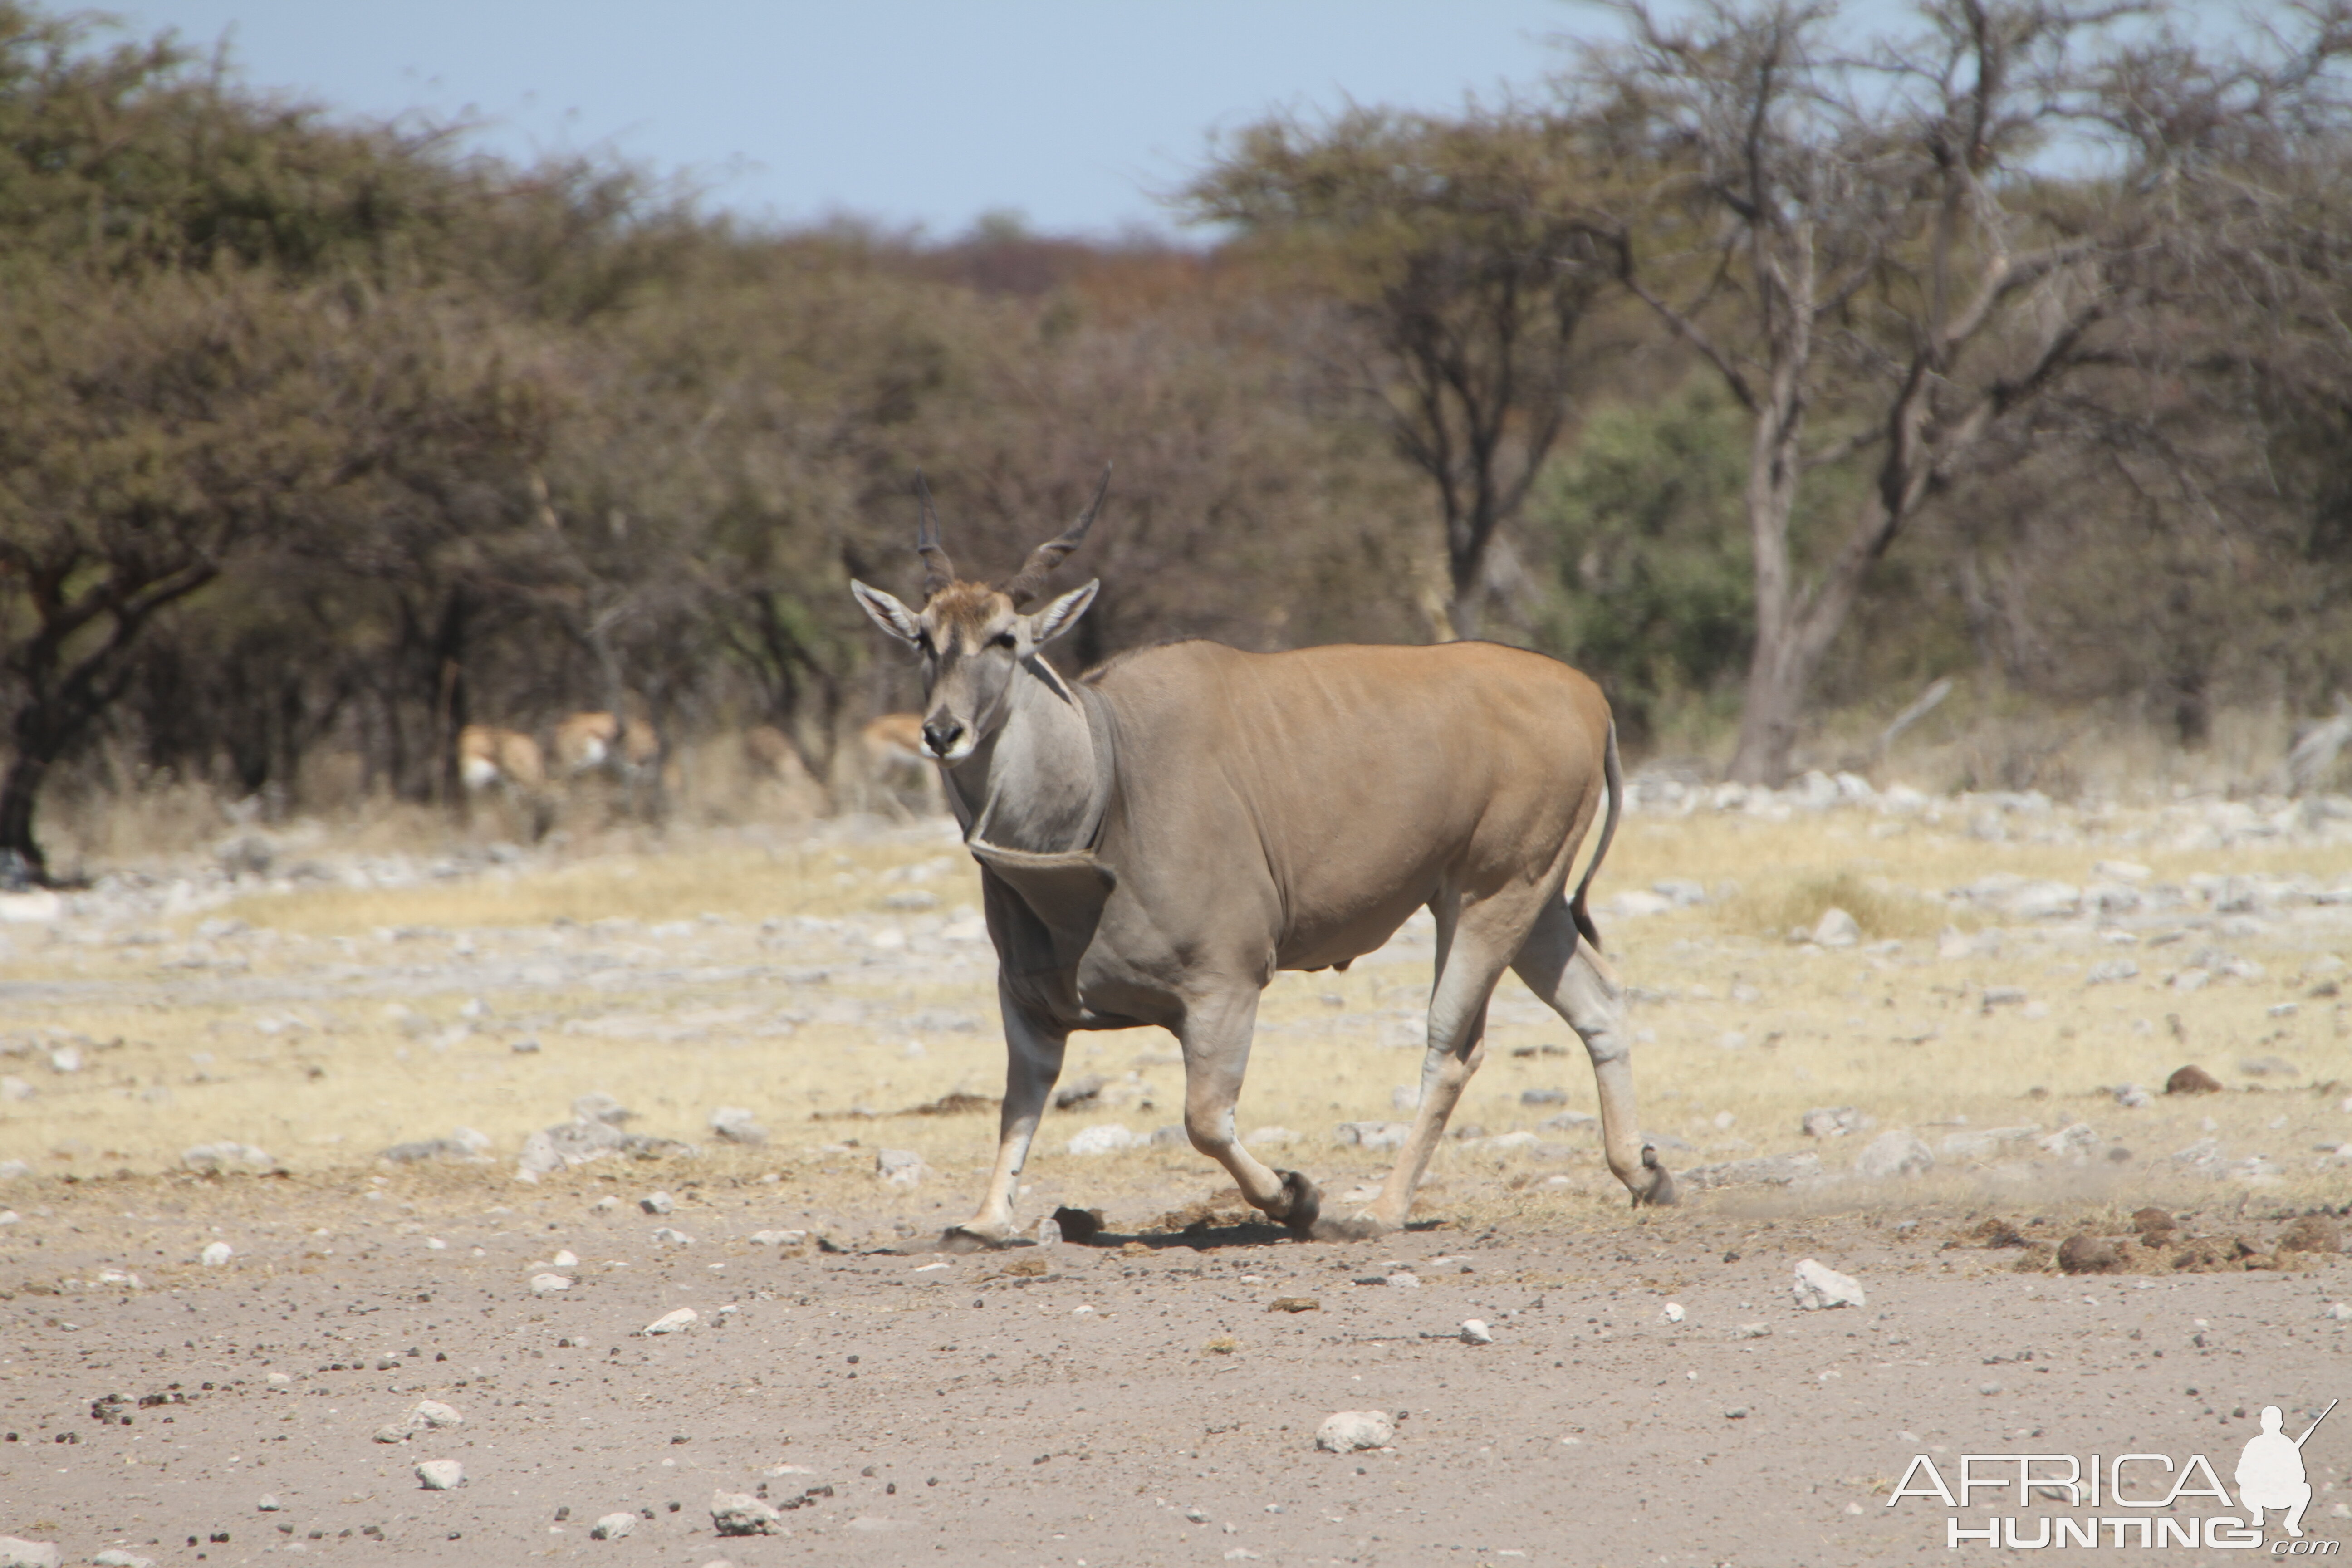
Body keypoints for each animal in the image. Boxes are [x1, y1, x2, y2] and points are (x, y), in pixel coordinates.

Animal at [851, 472, 1675, 1241]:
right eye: (923, 637)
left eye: (1006, 639)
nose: (941, 733)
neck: (1106, 775)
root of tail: (1589, 698)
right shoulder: (1028, 1004)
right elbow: (1018, 1108)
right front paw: (986, 1220)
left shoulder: (1225, 987)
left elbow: (1204, 1120)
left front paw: (1295, 1195)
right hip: (1532, 902)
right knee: (1599, 1001)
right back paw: (1643, 1173)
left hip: (1486, 897)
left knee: (1452, 1050)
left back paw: (1381, 1209)